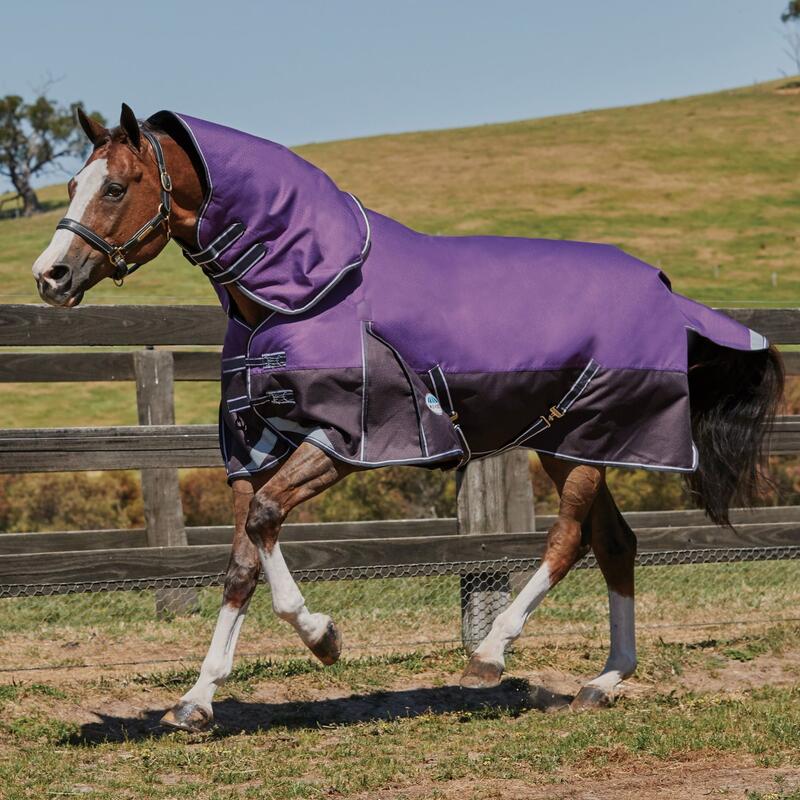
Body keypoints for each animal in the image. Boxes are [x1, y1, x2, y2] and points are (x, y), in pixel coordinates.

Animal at [31, 104, 784, 732]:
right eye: (71, 183)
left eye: (116, 187)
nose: (50, 276)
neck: (307, 288)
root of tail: (665, 290)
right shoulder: (253, 448)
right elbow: (242, 561)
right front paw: (196, 701)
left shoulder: (345, 440)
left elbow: (267, 524)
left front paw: (324, 638)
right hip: (571, 444)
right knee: (616, 544)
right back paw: (602, 683)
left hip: (586, 443)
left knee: (569, 541)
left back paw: (491, 655)